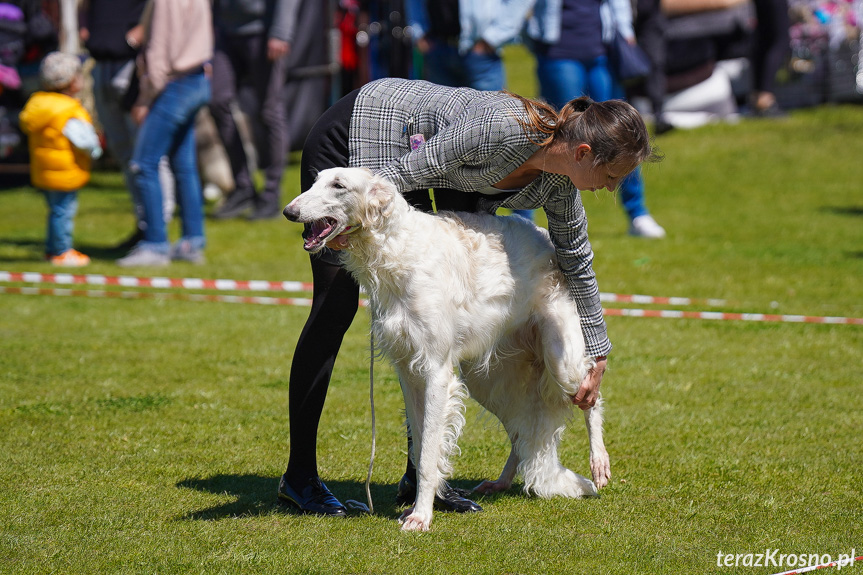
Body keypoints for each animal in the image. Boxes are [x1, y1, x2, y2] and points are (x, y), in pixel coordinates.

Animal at [286, 169, 612, 532]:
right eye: (315, 181)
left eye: (338, 185)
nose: (289, 211)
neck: (398, 250)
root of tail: (546, 239)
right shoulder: (407, 371)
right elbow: (419, 448)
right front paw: (421, 504)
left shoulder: (436, 370)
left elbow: (429, 453)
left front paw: (421, 515)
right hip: (488, 379)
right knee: (524, 431)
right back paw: (501, 481)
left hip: (562, 362)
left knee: (591, 398)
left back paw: (599, 463)